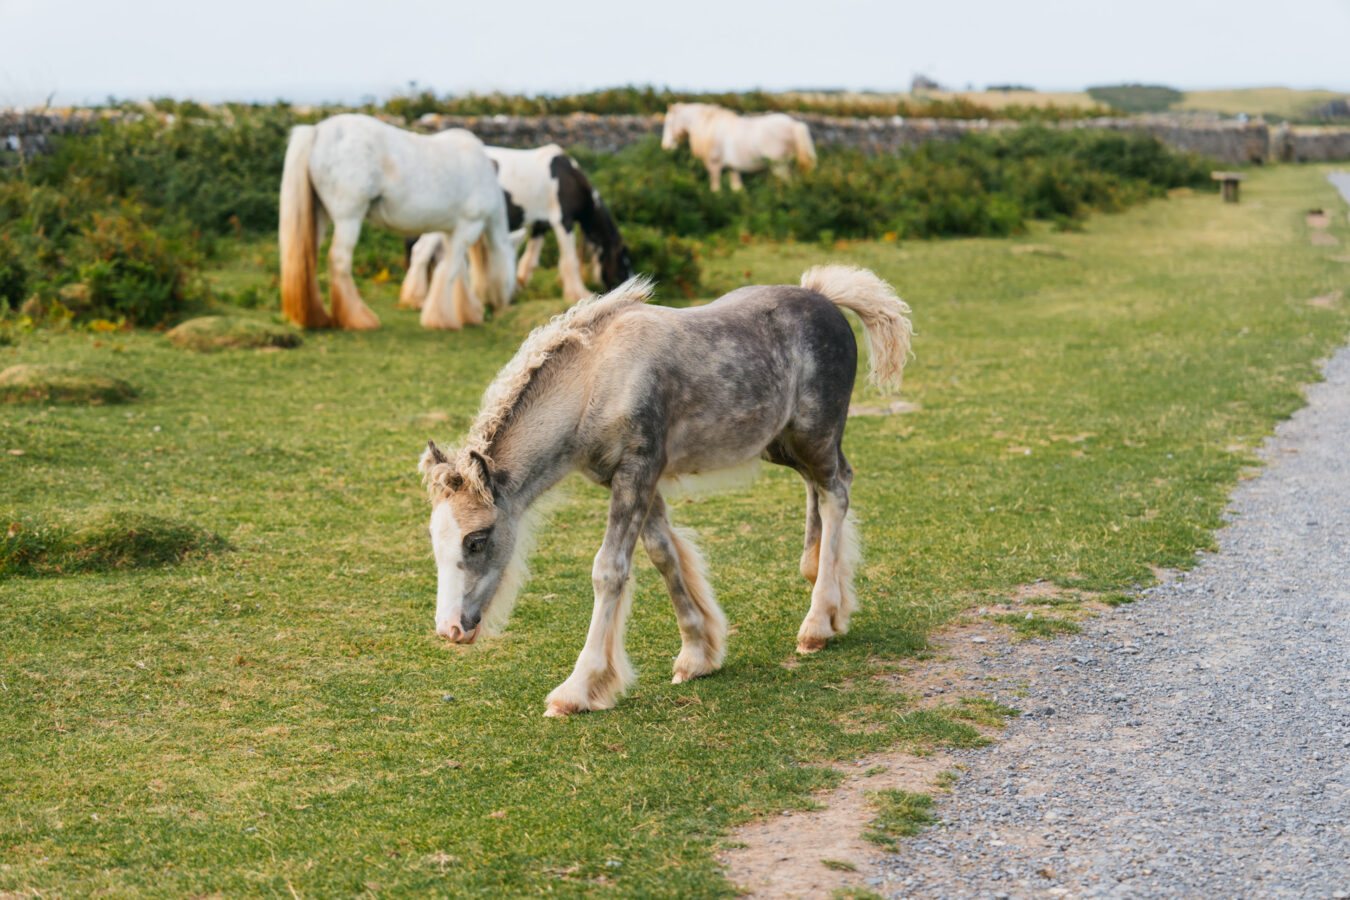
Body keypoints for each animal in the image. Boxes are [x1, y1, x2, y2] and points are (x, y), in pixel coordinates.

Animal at [279, 113, 515, 331]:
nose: (504, 306)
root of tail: (317, 131)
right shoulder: (468, 227)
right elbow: (449, 271)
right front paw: (442, 319)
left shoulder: (449, 231)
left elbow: (457, 271)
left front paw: (466, 313)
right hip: (349, 219)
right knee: (339, 260)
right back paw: (359, 319)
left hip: (319, 216)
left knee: (308, 260)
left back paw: (316, 318)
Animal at [400, 144, 632, 308]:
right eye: (624, 263)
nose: (630, 291)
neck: (569, 177)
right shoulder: (562, 221)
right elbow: (569, 260)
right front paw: (578, 293)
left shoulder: (541, 225)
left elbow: (529, 260)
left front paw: (518, 286)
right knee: (421, 252)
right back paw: (415, 299)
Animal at [417, 265, 913, 716]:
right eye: (435, 541)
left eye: (477, 540)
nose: (450, 630)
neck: (598, 379)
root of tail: (824, 296)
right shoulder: (631, 479)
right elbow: (663, 553)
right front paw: (697, 655)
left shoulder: (638, 470)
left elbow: (609, 569)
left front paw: (577, 690)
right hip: (781, 443)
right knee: (823, 484)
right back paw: (824, 590)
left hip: (814, 434)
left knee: (836, 492)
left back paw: (817, 623)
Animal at [661, 103, 816, 192]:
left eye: (668, 122)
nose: (665, 146)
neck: (710, 128)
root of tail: (794, 124)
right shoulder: (733, 169)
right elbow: (737, 190)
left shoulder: (714, 167)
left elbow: (715, 191)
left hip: (780, 167)